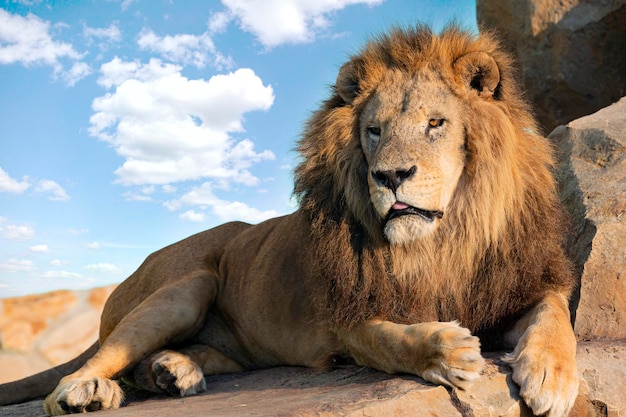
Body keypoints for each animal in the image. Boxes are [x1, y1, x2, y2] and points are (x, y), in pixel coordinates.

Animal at [0, 26, 576, 416]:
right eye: (373, 130)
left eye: (436, 123)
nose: (391, 176)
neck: (443, 240)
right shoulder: (344, 322)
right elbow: (392, 340)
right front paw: (448, 350)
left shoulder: (510, 286)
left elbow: (555, 312)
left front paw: (551, 376)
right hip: (187, 284)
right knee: (96, 362)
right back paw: (86, 392)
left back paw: (171, 371)